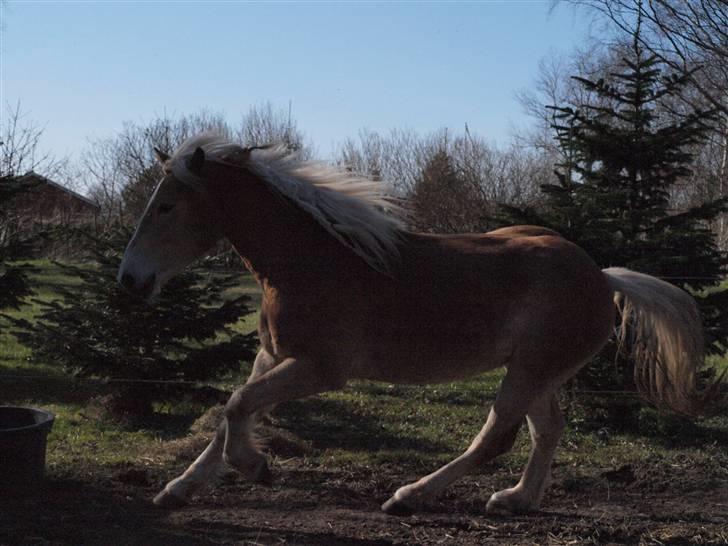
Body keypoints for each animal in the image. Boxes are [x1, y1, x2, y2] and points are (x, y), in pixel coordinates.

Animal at [116, 132, 720, 516]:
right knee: (546, 430)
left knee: (497, 435)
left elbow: (238, 406)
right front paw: (177, 490)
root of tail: (602, 275)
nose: (129, 279)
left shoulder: (319, 368)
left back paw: (410, 497)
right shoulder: (273, 356)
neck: (311, 261)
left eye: (166, 206)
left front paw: (256, 467)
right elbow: (229, 413)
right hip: (539, 372)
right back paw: (515, 501)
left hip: (529, 370)